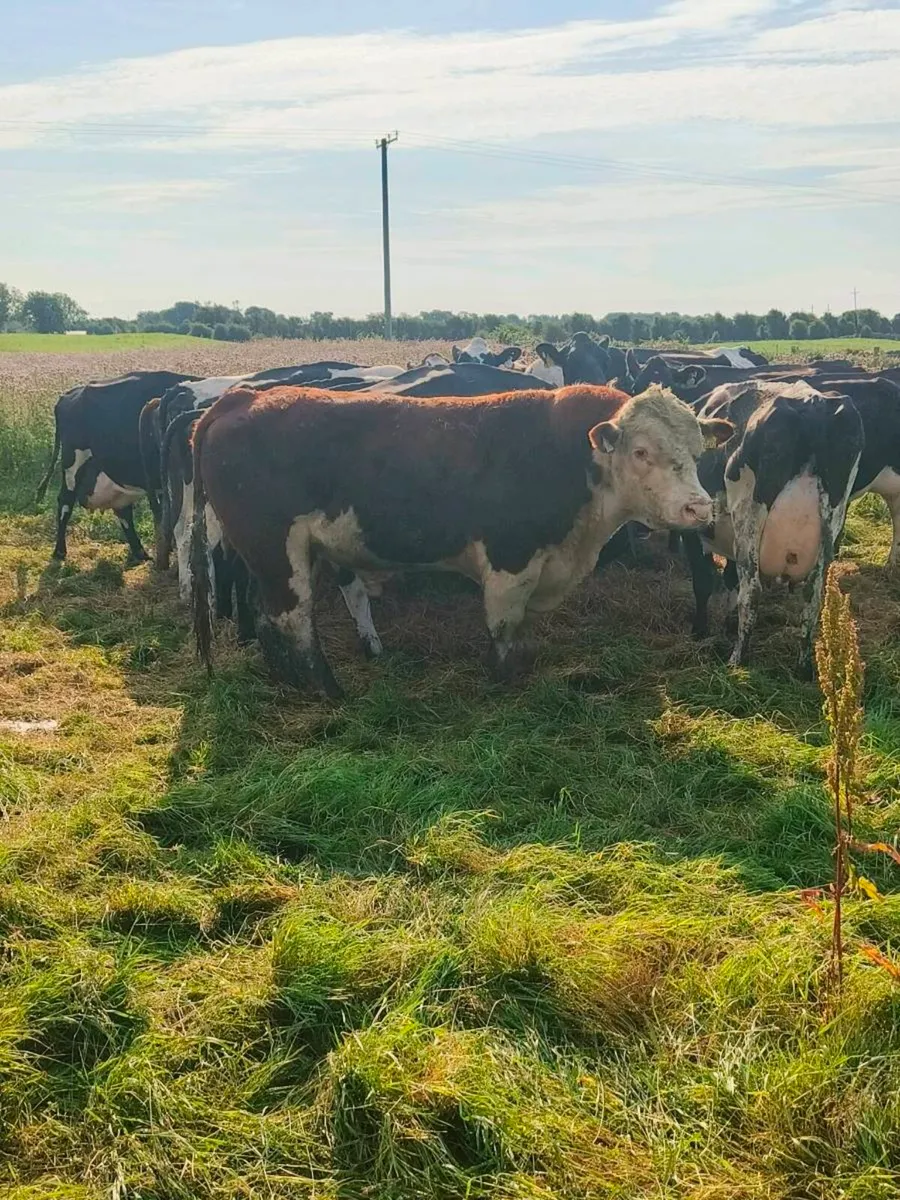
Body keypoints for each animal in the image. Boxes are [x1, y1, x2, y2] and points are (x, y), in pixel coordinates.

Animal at [36, 370, 199, 563]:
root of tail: (71, 393)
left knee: (123, 510)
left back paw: (140, 553)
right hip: (73, 462)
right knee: (65, 502)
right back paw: (60, 552)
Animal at [190, 383, 732, 697]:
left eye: (698, 449)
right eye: (641, 451)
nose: (698, 508)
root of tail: (243, 397)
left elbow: (522, 629)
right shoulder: (510, 560)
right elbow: (502, 626)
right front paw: (501, 680)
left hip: (267, 556)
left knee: (266, 616)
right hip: (277, 551)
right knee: (293, 619)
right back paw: (327, 690)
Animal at [682, 380, 864, 676]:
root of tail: (813, 402)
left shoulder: (692, 533)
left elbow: (703, 582)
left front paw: (699, 630)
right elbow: (728, 579)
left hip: (750, 521)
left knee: (752, 591)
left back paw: (738, 659)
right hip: (831, 522)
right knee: (813, 598)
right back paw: (803, 668)